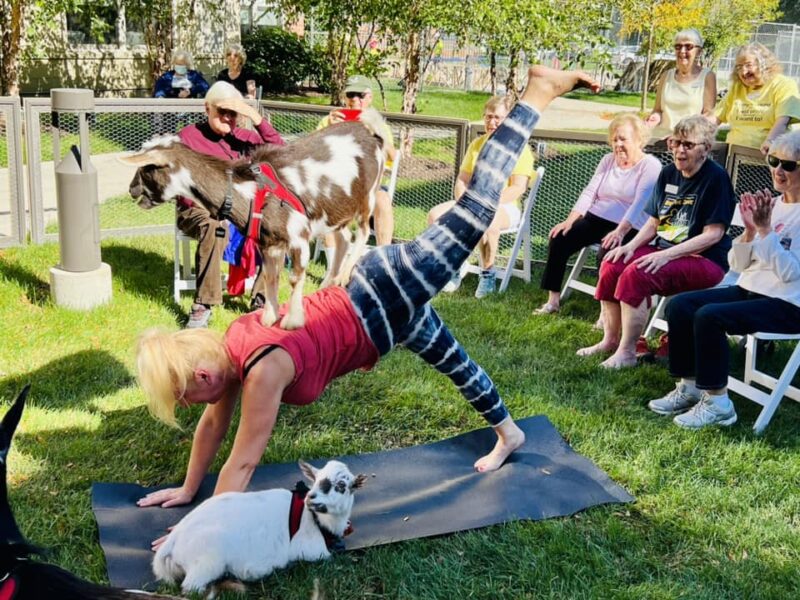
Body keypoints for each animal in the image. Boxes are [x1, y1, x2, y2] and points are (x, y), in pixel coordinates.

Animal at [121, 110, 390, 330]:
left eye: (147, 168)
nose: (132, 189)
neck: (251, 192)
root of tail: (373, 135)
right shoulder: (268, 244)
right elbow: (272, 277)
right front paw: (269, 318)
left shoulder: (298, 238)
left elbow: (294, 278)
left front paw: (292, 321)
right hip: (335, 213)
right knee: (344, 238)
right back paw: (329, 283)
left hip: (366, 199)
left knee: (362, 234)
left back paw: (344, 274)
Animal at [153, 460, 366, 596]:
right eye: (315, 479)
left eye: (341, 485)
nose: (311, 498)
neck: (316, 519)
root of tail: (173, 541)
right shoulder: (312, 551)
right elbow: (329, 557)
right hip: (207, 561)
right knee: (191, 589)